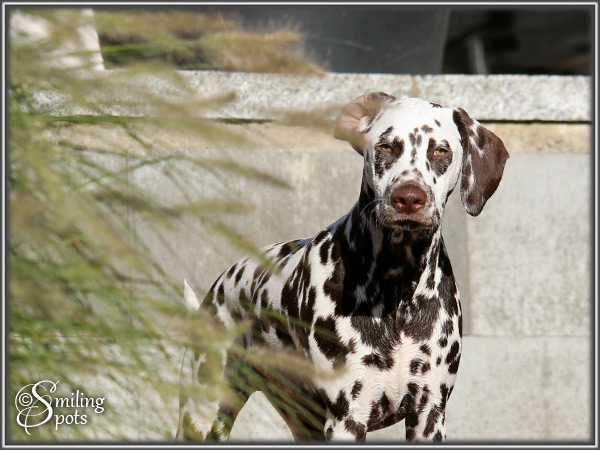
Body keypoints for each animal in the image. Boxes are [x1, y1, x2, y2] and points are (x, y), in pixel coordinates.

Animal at [177, 92, 509, 442]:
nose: (408, 197)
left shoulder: (428, 415)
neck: (398, 291)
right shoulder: (348, 416)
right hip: (204, 413)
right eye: (385, 146)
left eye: (440, 150)